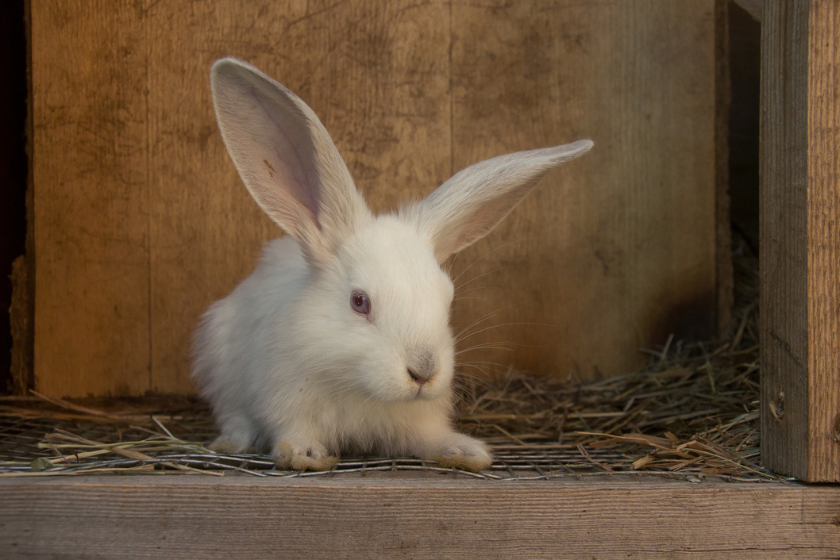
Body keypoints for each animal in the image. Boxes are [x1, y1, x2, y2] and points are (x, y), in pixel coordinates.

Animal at [194, 57, 592, 470]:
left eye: (448, 300)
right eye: (359, 302)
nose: (423, 372)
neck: (357, 384)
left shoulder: (418, 422)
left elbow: (429, 440)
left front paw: (466, 452)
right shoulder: (286, 402)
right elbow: (294, 432)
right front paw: (306, 456)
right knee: (234, 415)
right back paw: (231, 442)